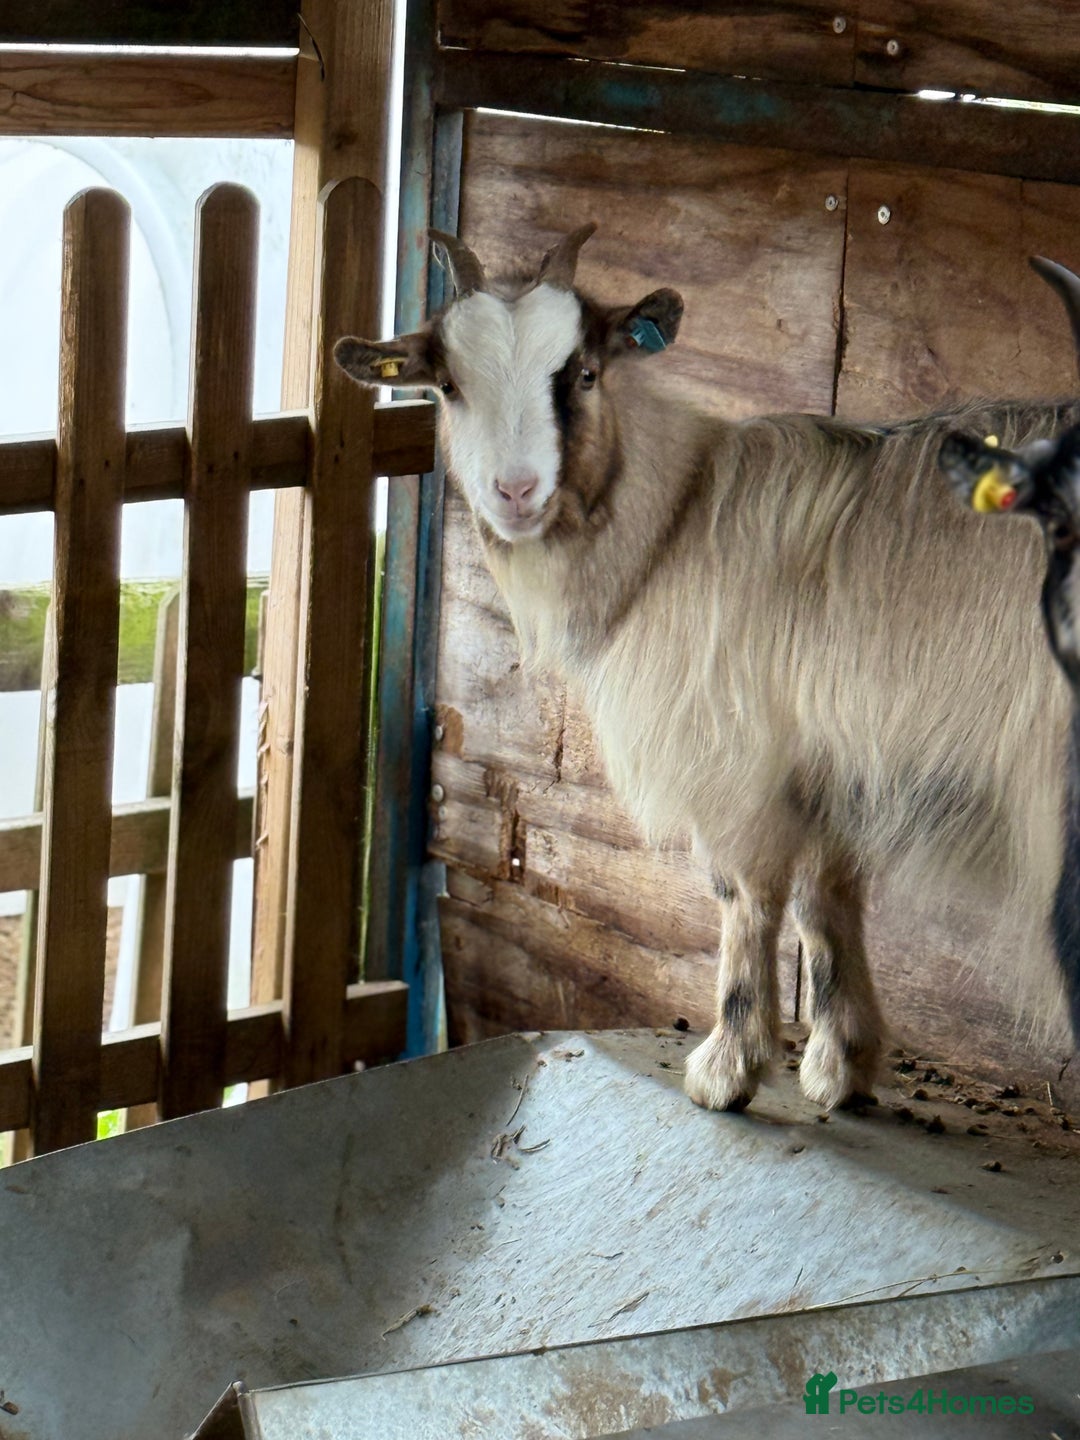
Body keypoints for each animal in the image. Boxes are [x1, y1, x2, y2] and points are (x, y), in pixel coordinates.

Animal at [336, 226, 1080, 1112]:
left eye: (584, 373)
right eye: (449, 386)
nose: (515, 492)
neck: (673, 523)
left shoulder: (732, 756)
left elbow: (745, 897)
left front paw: (728, 1065)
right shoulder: (825, 758)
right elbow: (825, 899)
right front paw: (841, 1061)